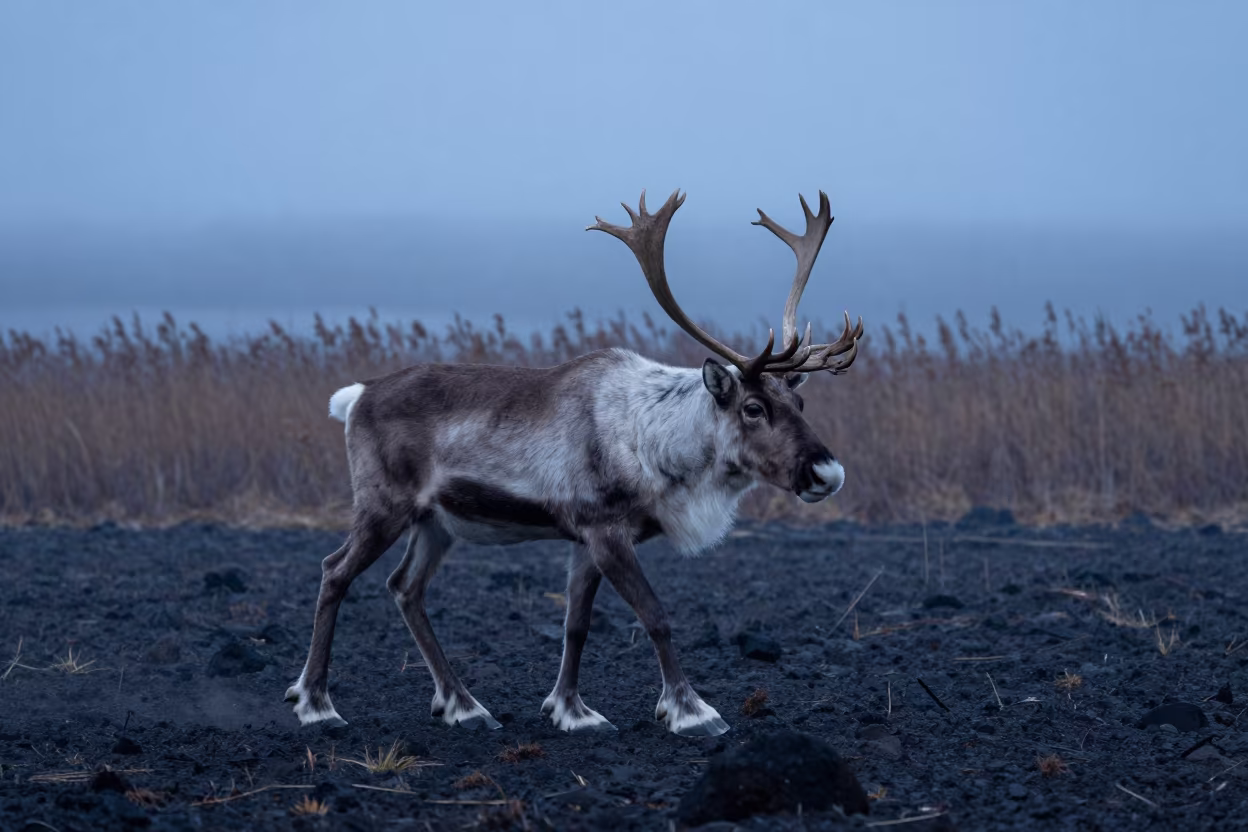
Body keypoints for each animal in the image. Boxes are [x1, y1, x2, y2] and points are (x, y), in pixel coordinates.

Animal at [285, 188, 863, 737]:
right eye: (753, 407)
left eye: (800, 402)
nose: (828, 473)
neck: (659, 442)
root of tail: (355, 396)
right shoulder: (606, 532)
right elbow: (656, 616)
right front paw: (691, 711)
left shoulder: (586, 539)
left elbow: (576, 625)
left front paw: (571, 710)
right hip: (383, 505)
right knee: (335, 571)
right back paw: (316, 703)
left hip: (436, 522)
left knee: (405, 588)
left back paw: (465, 706)